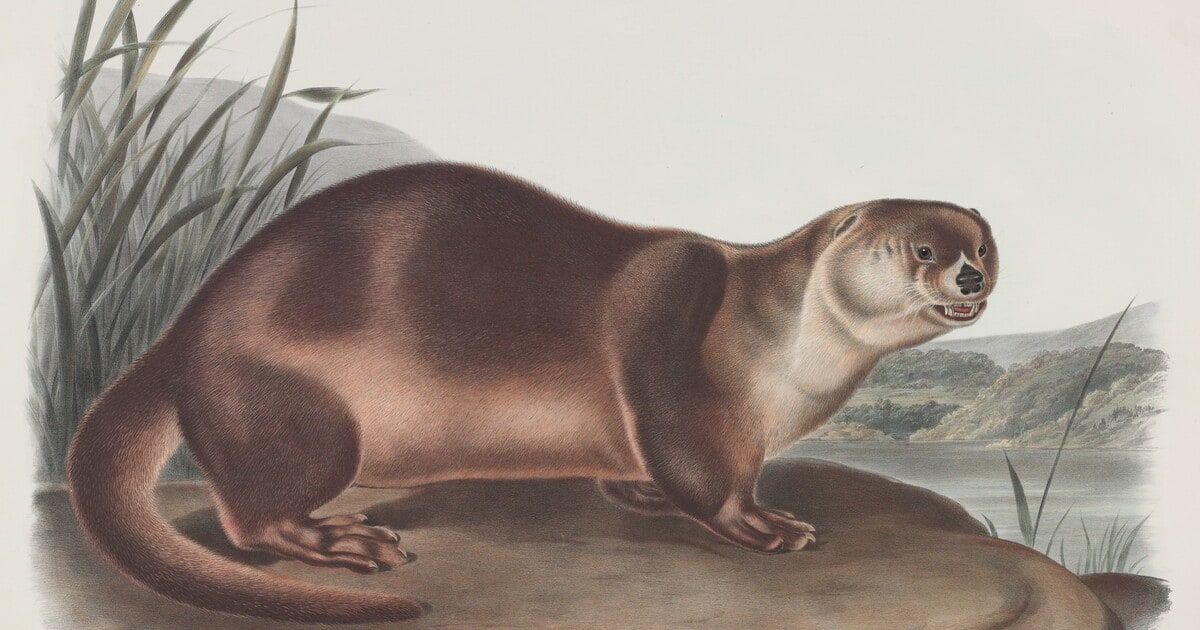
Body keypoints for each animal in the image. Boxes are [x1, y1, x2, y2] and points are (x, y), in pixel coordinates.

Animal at [66, 162, 998, 623]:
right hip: (295, 410)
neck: (780, 354)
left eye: (984, 241)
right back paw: (343, 539)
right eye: (920, 248)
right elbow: (698, 466)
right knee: (251, 516)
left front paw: (643, 495)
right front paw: (764, 524)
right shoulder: (672, 327)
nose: (972, 274)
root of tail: (183, 334)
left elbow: (645, 468)